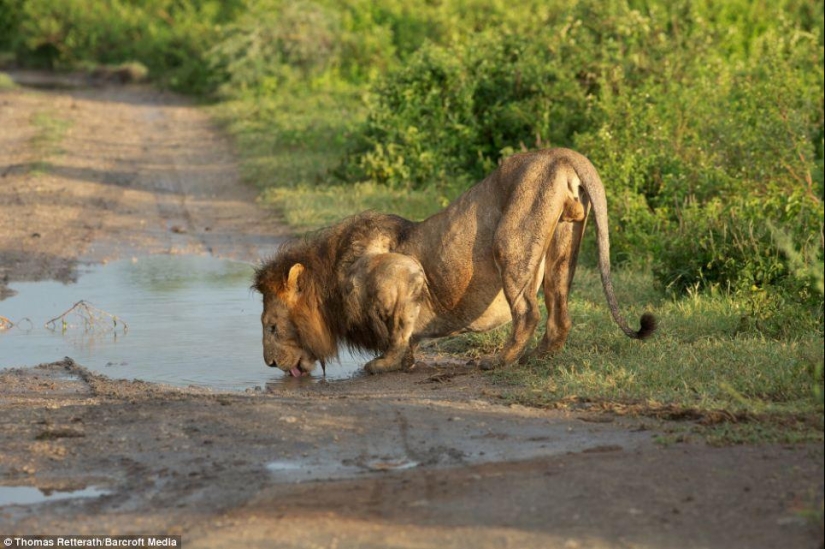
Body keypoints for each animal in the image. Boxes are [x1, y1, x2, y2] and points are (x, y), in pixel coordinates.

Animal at [254, 148, 656, 377]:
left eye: (272, 327)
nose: (269, 364)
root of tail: (563, 155)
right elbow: (405, 333)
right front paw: (406, 361)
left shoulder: (398, 273)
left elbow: (397, 327)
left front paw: (384, 364)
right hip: (563, 244)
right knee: (559, 315)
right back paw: (537, 357)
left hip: (510, 242)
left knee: (528, 312)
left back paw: (498, 361)